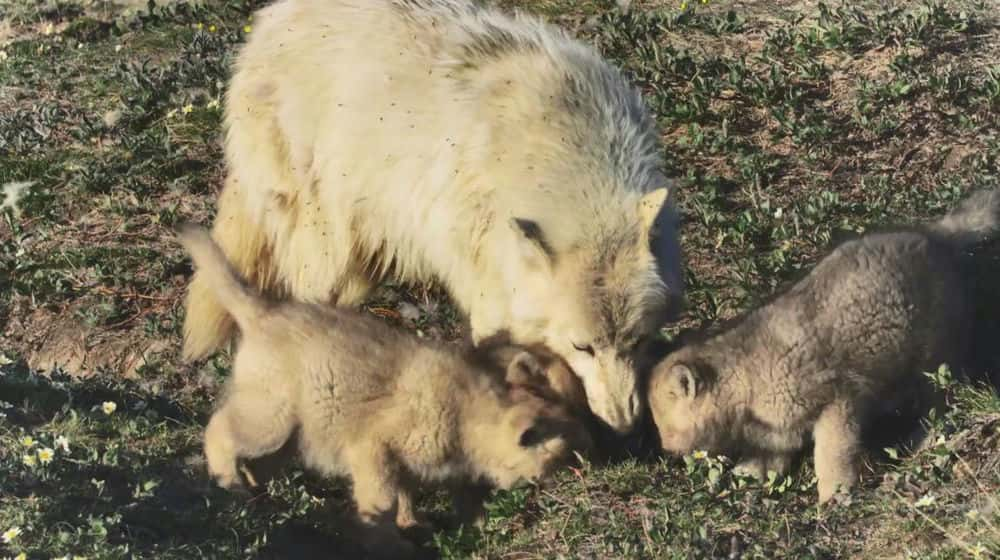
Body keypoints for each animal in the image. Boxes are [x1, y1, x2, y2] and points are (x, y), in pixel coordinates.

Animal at [182, 0, 680, 434]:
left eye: (636, 342)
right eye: (583, 346)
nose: (623, 424)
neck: (555, 154)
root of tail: (264, 24)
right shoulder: (485, 278)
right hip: (327, 238)